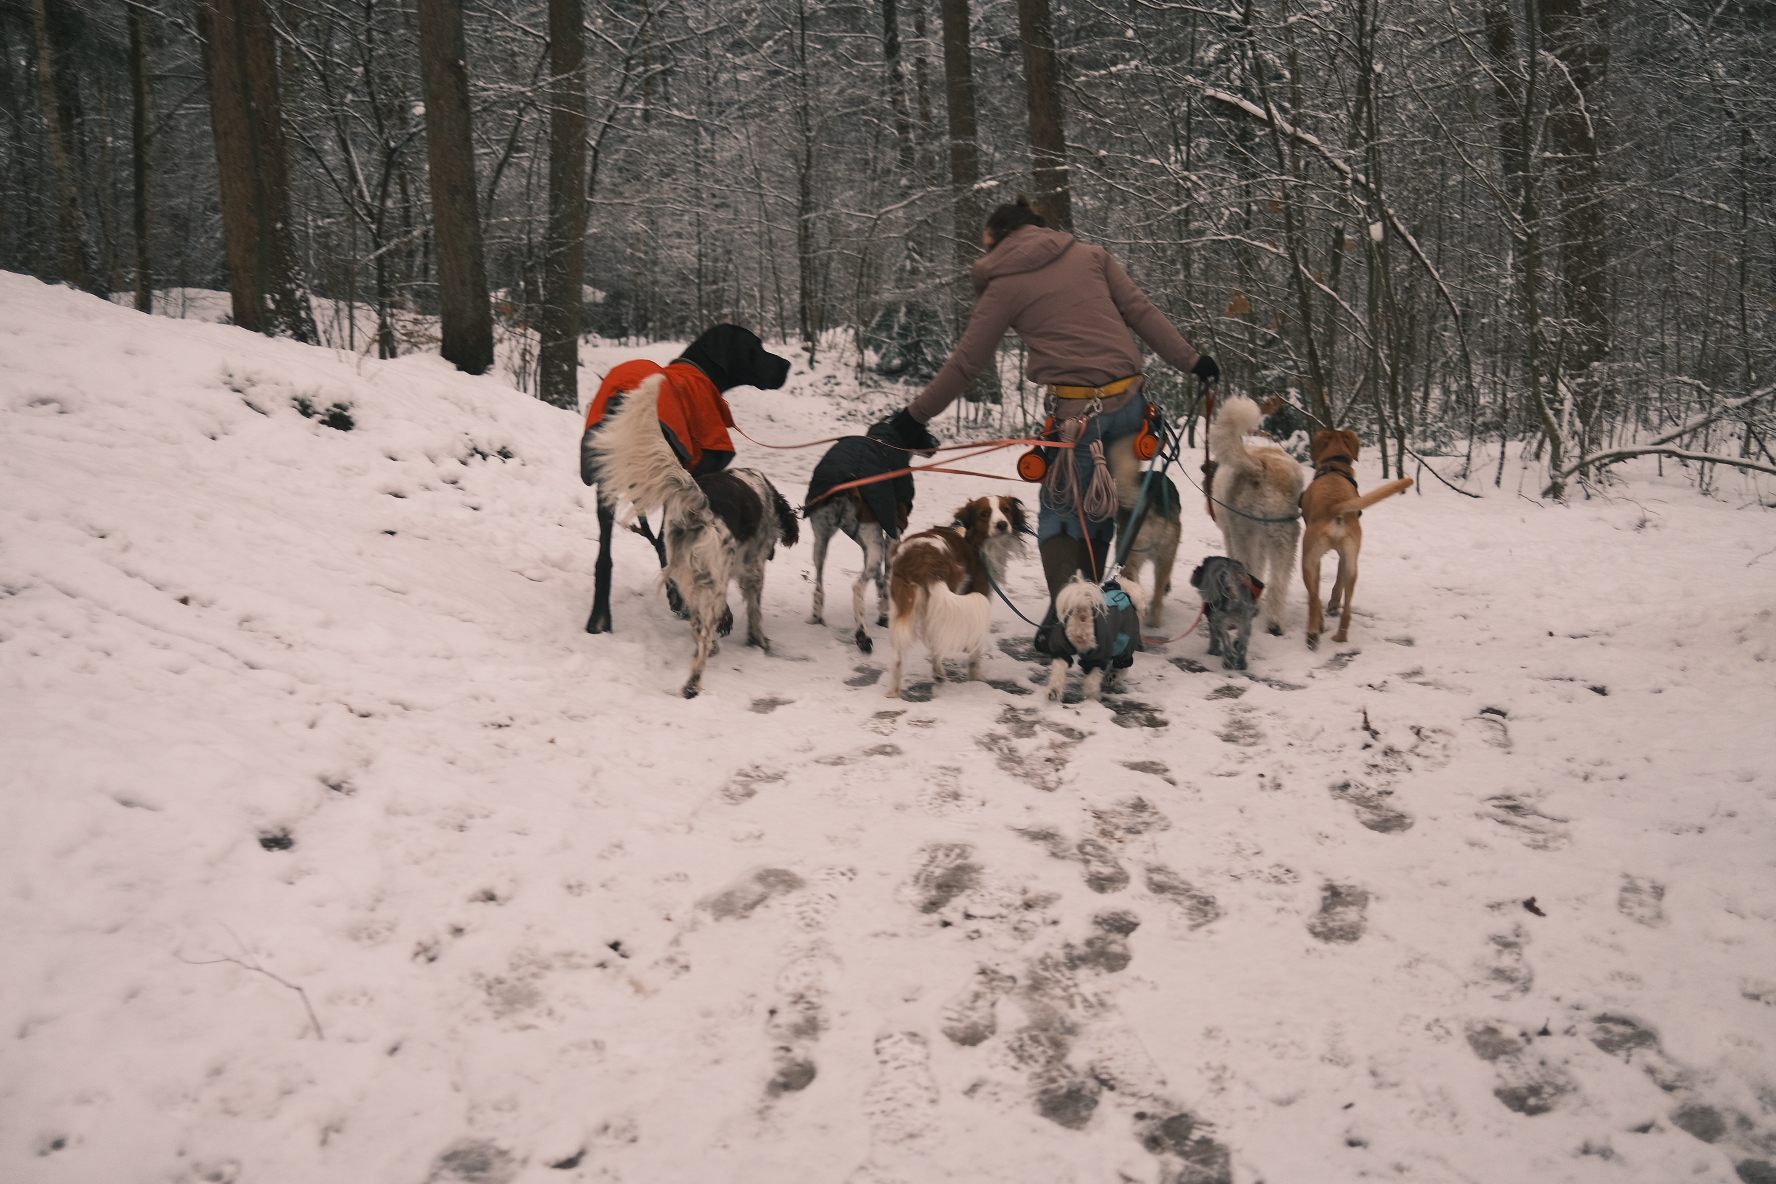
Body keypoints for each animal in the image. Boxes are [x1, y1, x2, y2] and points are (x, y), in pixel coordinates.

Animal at [588, 374, 799, 698]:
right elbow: (755, 611)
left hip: (686, 575)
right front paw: (759, 641)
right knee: (704, 631)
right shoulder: (753, 570)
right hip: (714, 581)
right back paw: (693, 682)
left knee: (697, 625)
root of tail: (701, 505)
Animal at [805, 416, 939, 653]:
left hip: (821, 542)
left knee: (820, 583)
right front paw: (885, 611)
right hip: (873, 544)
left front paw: (883, 603)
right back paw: (862, 635)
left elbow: (879, 578)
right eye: (923, 429)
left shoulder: (867, 541)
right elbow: (887, 574)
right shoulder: (893, 533)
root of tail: (846, 483)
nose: (937, 442)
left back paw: (816, 616)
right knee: (857, 586)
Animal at [885, 495, 1028, 698]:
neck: (971, 539)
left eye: (1006, 510)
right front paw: (976, 677)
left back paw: (894, 691)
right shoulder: (980, 591)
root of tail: (923, 559)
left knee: (899, 654)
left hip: (903, 607)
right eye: (985, 514)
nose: (1002, 525)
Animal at [1209, 395, 1306, 636]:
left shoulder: (1231, 536)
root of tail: (1260, 467)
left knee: (1247, 574)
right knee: (1278, 581)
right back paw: (1274, 624)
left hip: (1243, 534)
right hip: (1284, 538)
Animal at [1299, 429, 1413, 650]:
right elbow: (1337, 583)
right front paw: (1334, 605)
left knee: (1313, 599)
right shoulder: (1343, 558)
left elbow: (1316, 593)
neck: (1335, 465)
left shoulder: (1318, 560)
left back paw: (1313, 632)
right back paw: (1340, 637)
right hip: (1352, 565)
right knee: (1347, 609)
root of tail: (1336, 506)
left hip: (1308, 561)